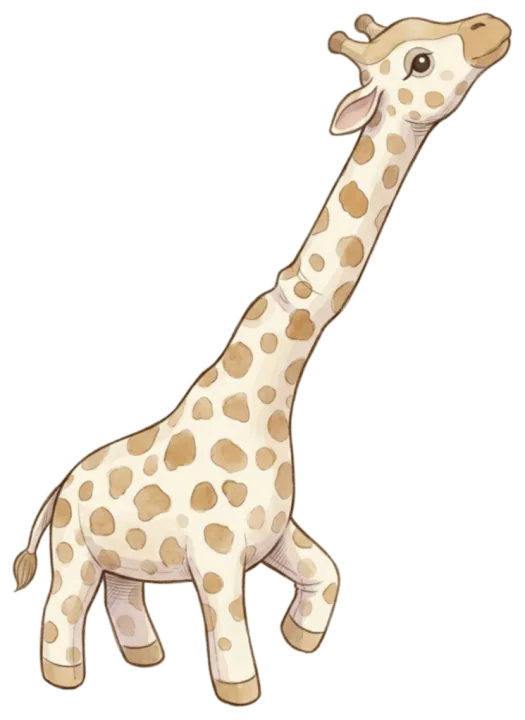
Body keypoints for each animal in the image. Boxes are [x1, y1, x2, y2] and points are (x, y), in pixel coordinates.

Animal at [11, 9, 513, 709]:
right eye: (418, 61)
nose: (492, 27)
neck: (268, 396)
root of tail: (59, 487)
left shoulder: (276, 533)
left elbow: (328, 573)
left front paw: (300, 640)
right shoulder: (217, 555)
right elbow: (229, 633)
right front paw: (242, 693)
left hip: (122, 559)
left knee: (124, 593)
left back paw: (146, 658)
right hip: (75, 551)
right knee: (62, 605)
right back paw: (65, 679)